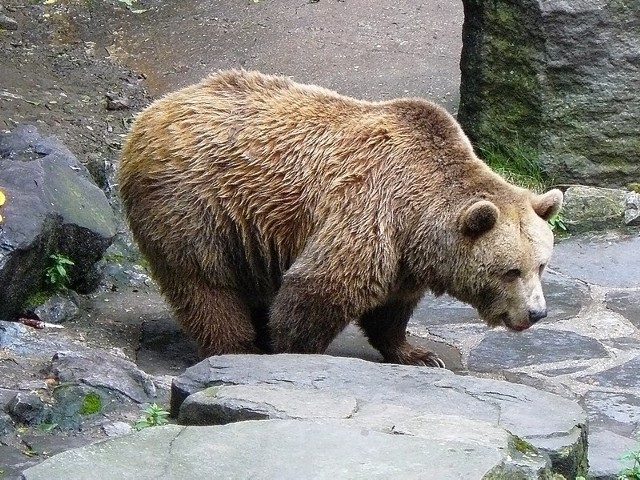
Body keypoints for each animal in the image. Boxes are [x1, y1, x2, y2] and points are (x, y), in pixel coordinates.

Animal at [117, 69, 564, 366]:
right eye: (510, 270)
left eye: (541, 265)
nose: (536, 313)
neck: (418, 215)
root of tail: (150, 114)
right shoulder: (370, 209)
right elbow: (322, 287)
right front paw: (295, 351)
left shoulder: (403, 254)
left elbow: (392, 307)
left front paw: (417, 353)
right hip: (195, 204)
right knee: (205, 281)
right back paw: (237, 348)